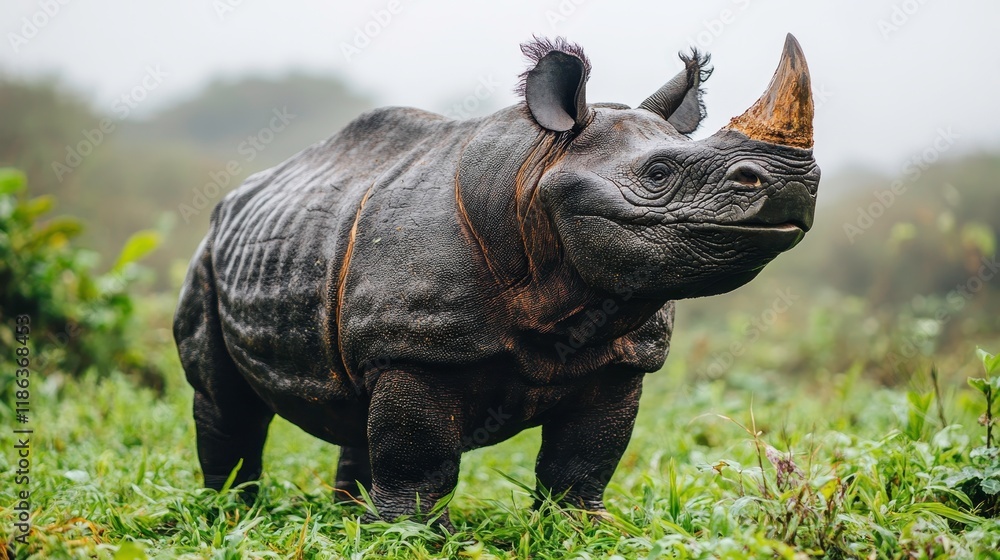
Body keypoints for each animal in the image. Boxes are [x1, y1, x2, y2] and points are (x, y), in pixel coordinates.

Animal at [174, 34, 819, 528]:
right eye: (658, 173)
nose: (795, 184)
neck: (534, 174)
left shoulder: (625, 353)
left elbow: (584, 458)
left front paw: (579, 529)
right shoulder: (416, 344)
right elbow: (419, 455)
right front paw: (413, 536)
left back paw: (345, 515)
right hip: (207, 257)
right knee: (225, 400)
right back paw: (231, 511)